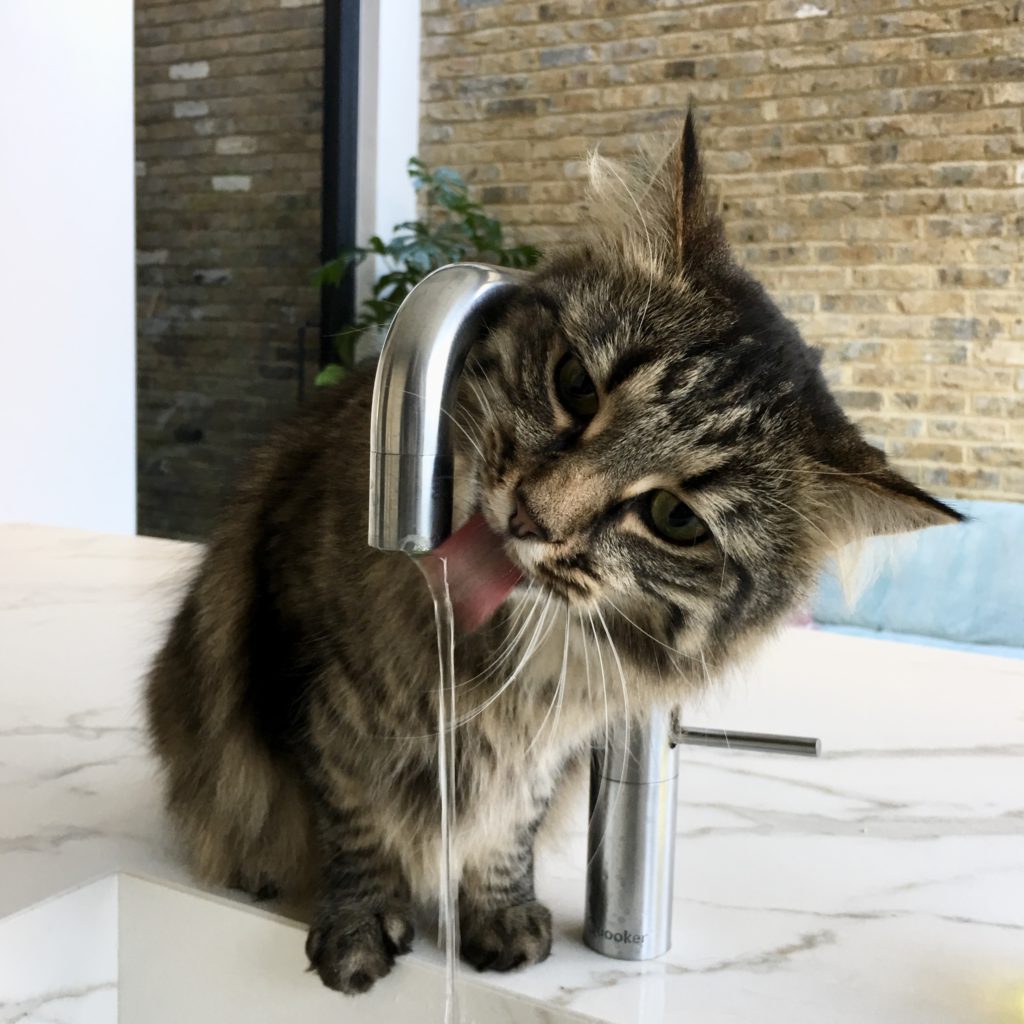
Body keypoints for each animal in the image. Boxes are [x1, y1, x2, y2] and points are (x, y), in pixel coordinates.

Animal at [144, 110, 958, 991]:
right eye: (576, 386)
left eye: (675, 518)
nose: (531, 516)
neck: (486, 652)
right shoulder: (320, 688)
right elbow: (356, 822)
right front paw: (360, 928)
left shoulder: (549, 746)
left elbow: (507, 830)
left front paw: (499, 915)